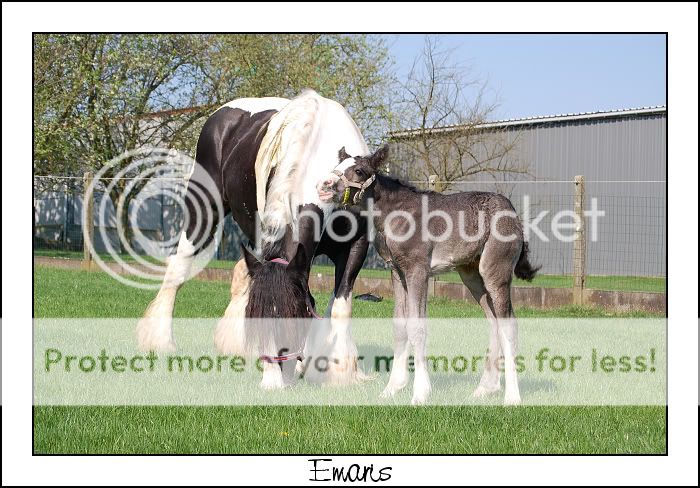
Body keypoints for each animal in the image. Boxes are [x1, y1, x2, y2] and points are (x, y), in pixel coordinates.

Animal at [139, 90, 374, 388]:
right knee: (178, 267)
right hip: (203, 208)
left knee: (241, 271)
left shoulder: (356, 248)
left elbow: (339, 305)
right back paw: (160, 341)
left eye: (292, 318)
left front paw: (336, 370)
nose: (272, 386)